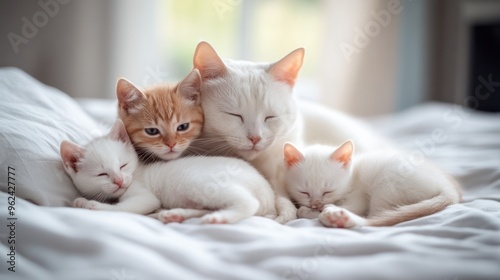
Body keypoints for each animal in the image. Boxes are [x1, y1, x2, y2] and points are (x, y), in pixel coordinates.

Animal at [61, 119, 278, 224]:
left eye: (123, 165)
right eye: (102, 174)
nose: (119, 181)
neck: (137, 171)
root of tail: (268, 194)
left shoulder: (144, 195)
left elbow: (123, 208)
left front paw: (90, 205)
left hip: (201, 183)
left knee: (248, 202)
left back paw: (219, 218)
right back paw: (175, 215)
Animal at [284, 140, 462, 228]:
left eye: (328, 191)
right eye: (304, 192)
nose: (316, 204)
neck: (352, 177)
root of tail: (446, 187)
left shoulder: (359, 196)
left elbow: (354, 207)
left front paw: (309, 211)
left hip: (386, 181)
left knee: (375, 217)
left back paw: (337, 217)